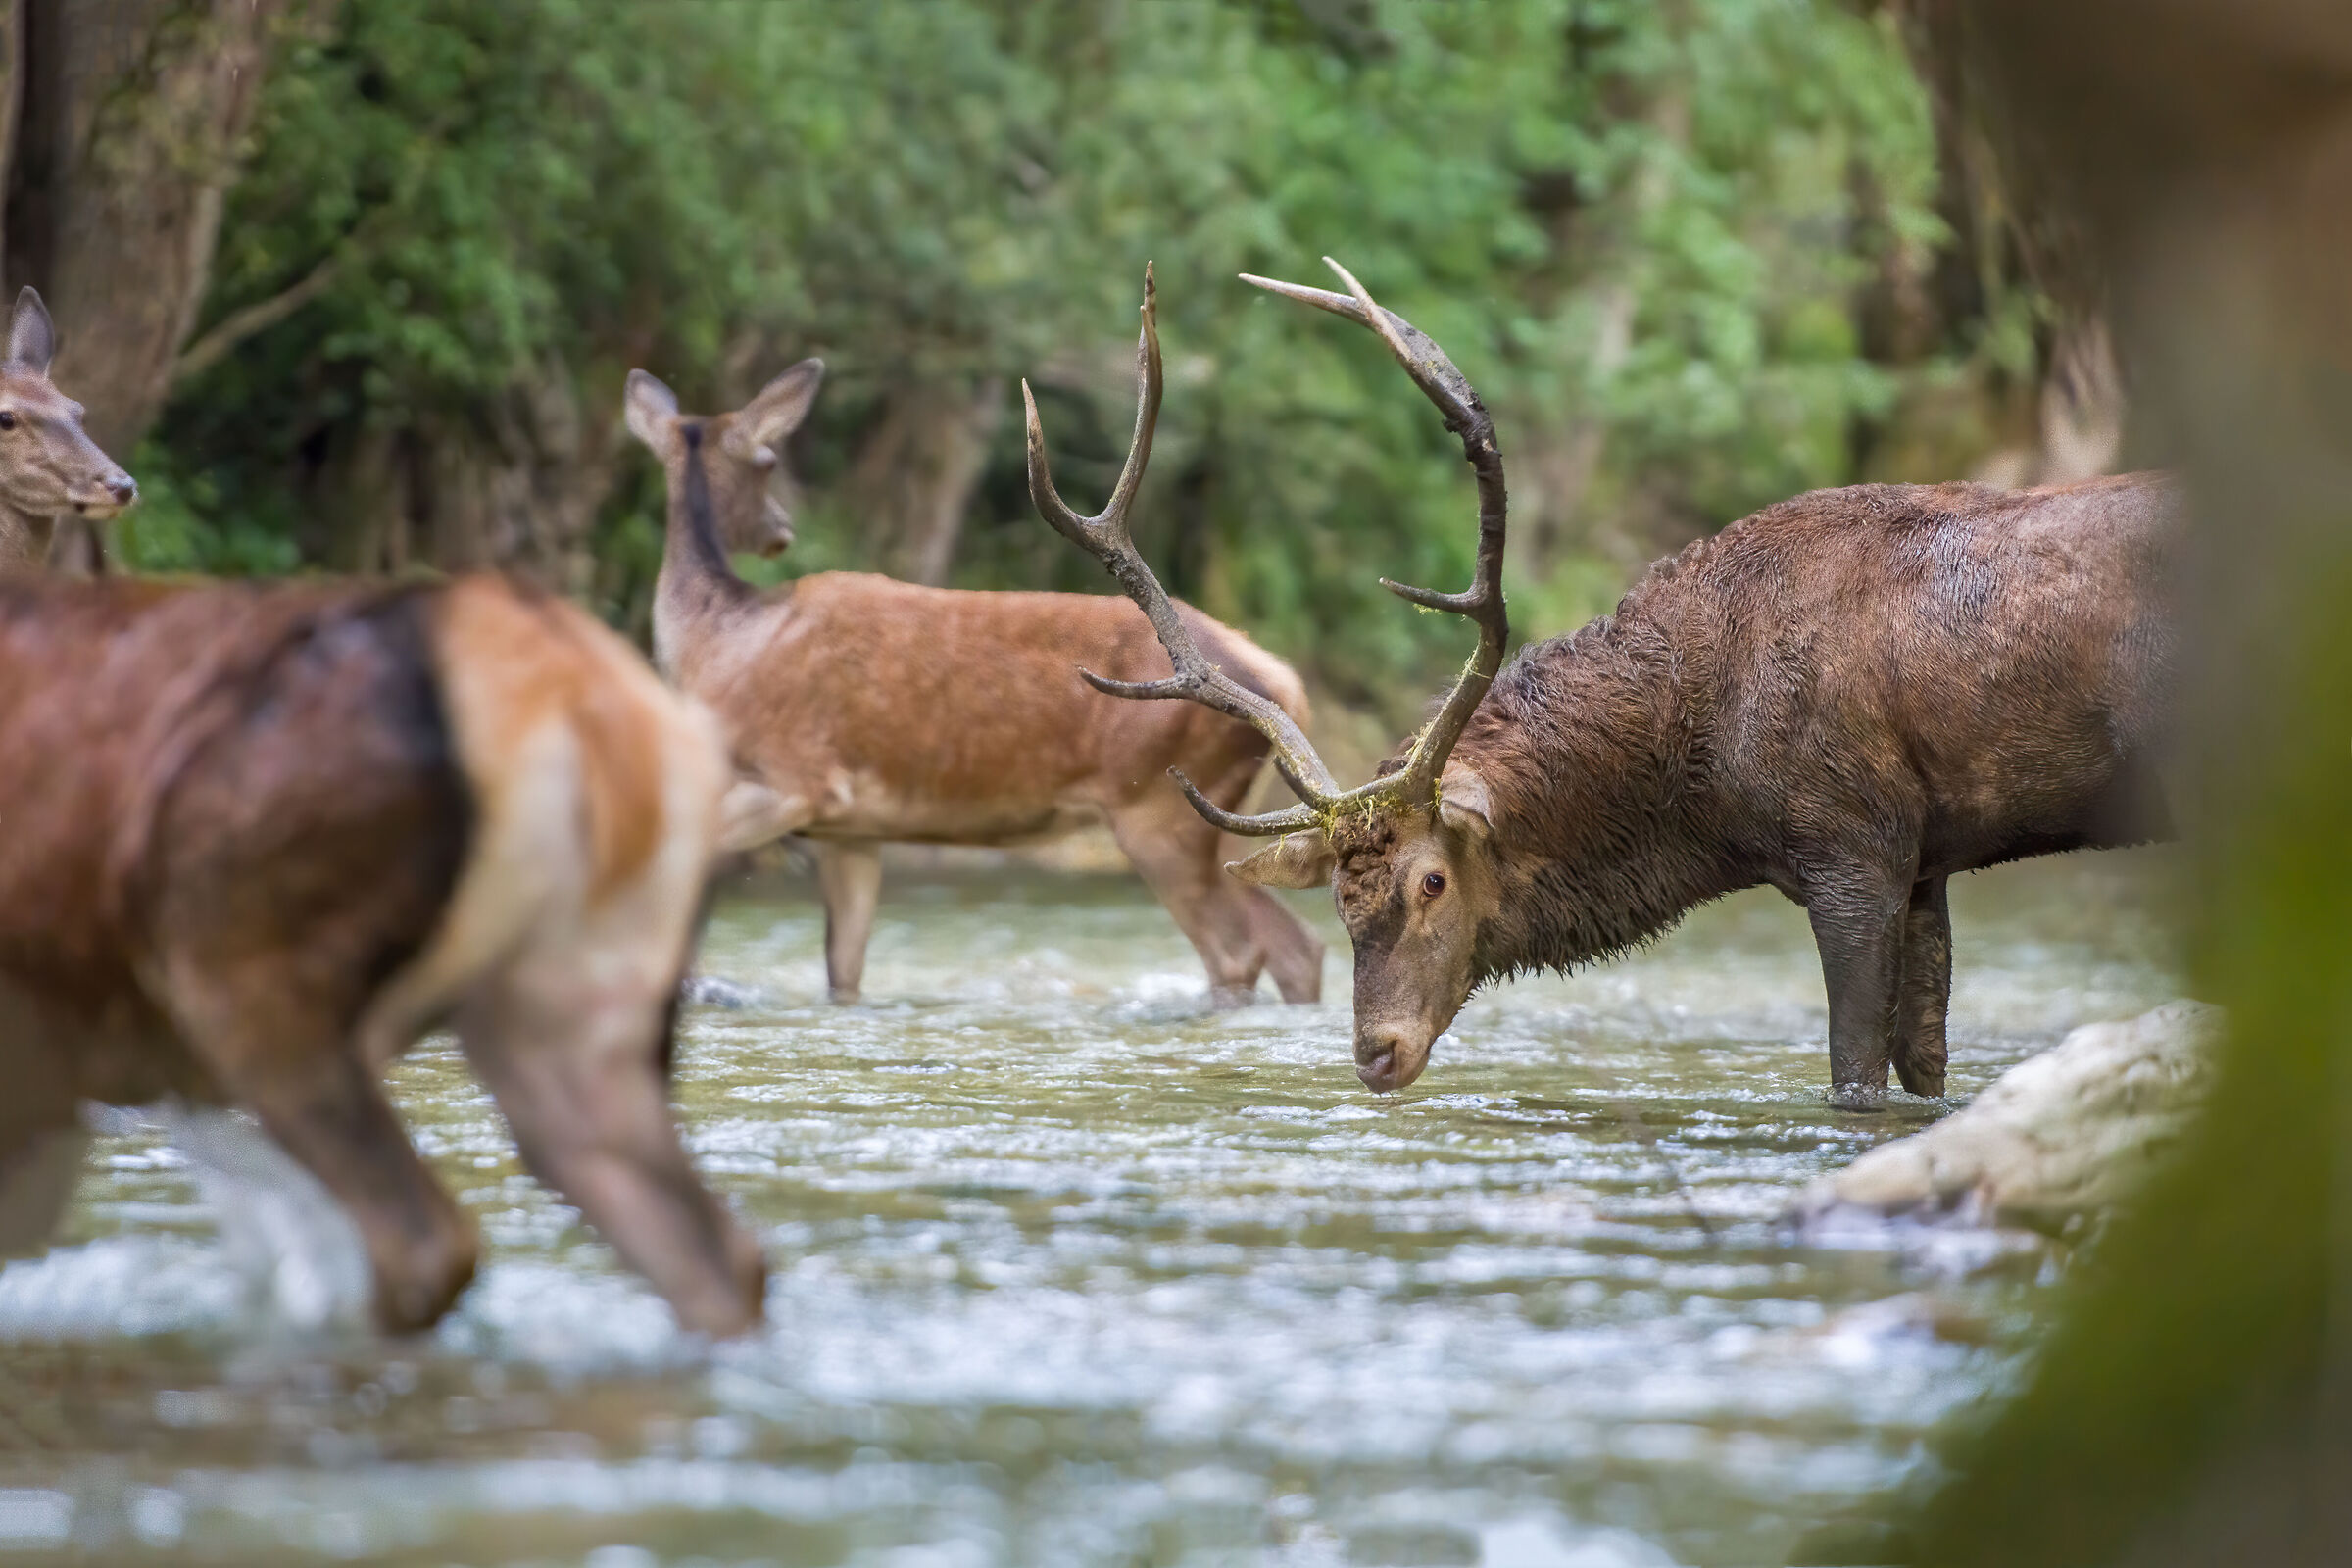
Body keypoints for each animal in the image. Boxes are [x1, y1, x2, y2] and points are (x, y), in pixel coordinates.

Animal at [620, 346, 1326, 1007]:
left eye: (767, 459)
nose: (780, 530)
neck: (719, 647)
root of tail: (1286, 684)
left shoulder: (800, 776)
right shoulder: (851, 830)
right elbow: (844, 973)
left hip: (1159, 806)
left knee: (1242, 949)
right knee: (1297, 943)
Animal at [1026, 261, 2176, 1109]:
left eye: (1431, 881)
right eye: (1342, 901)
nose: (1376, 1055)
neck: (1708, 781)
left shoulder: (1853, 843)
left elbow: (1855, 1075)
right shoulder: (1928, 859)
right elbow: (1928, 1068)